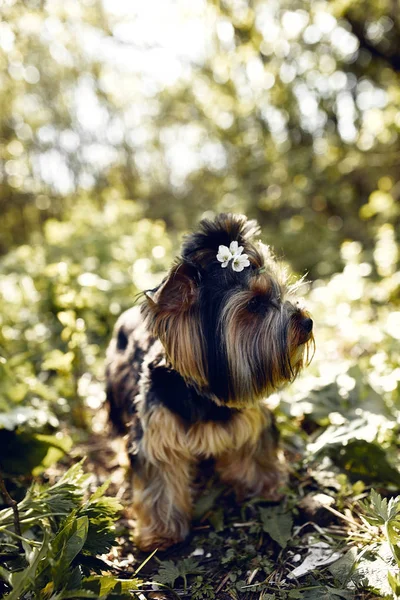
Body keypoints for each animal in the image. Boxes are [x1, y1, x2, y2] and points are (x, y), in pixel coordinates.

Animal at [105, 213, 312, 552]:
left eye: (280, 291)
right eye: (254, 305)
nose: (307, 321)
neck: (205, 395)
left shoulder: (249, 417)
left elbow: (255, 451)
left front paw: (266, 486)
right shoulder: (156, 434)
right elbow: (159, 481)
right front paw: (161, 533)